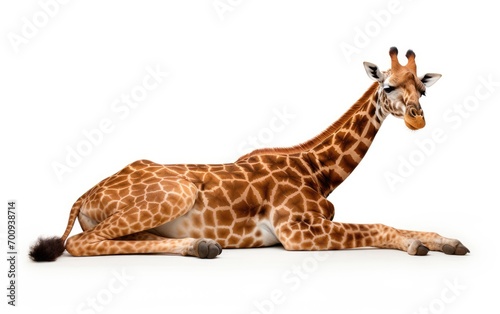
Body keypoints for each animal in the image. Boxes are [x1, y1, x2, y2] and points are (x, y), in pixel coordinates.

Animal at [30, 46, 468, 262]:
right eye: (388, 86)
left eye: (423, 89)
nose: (416, 120)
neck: (319, 171)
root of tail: (84, 196)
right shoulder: (294, 231)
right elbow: (380, 225)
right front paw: (416, 247)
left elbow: (406, 223)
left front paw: (448, 242)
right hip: (177, 193)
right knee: (78, 243)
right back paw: (201, 247)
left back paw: (199, 245)